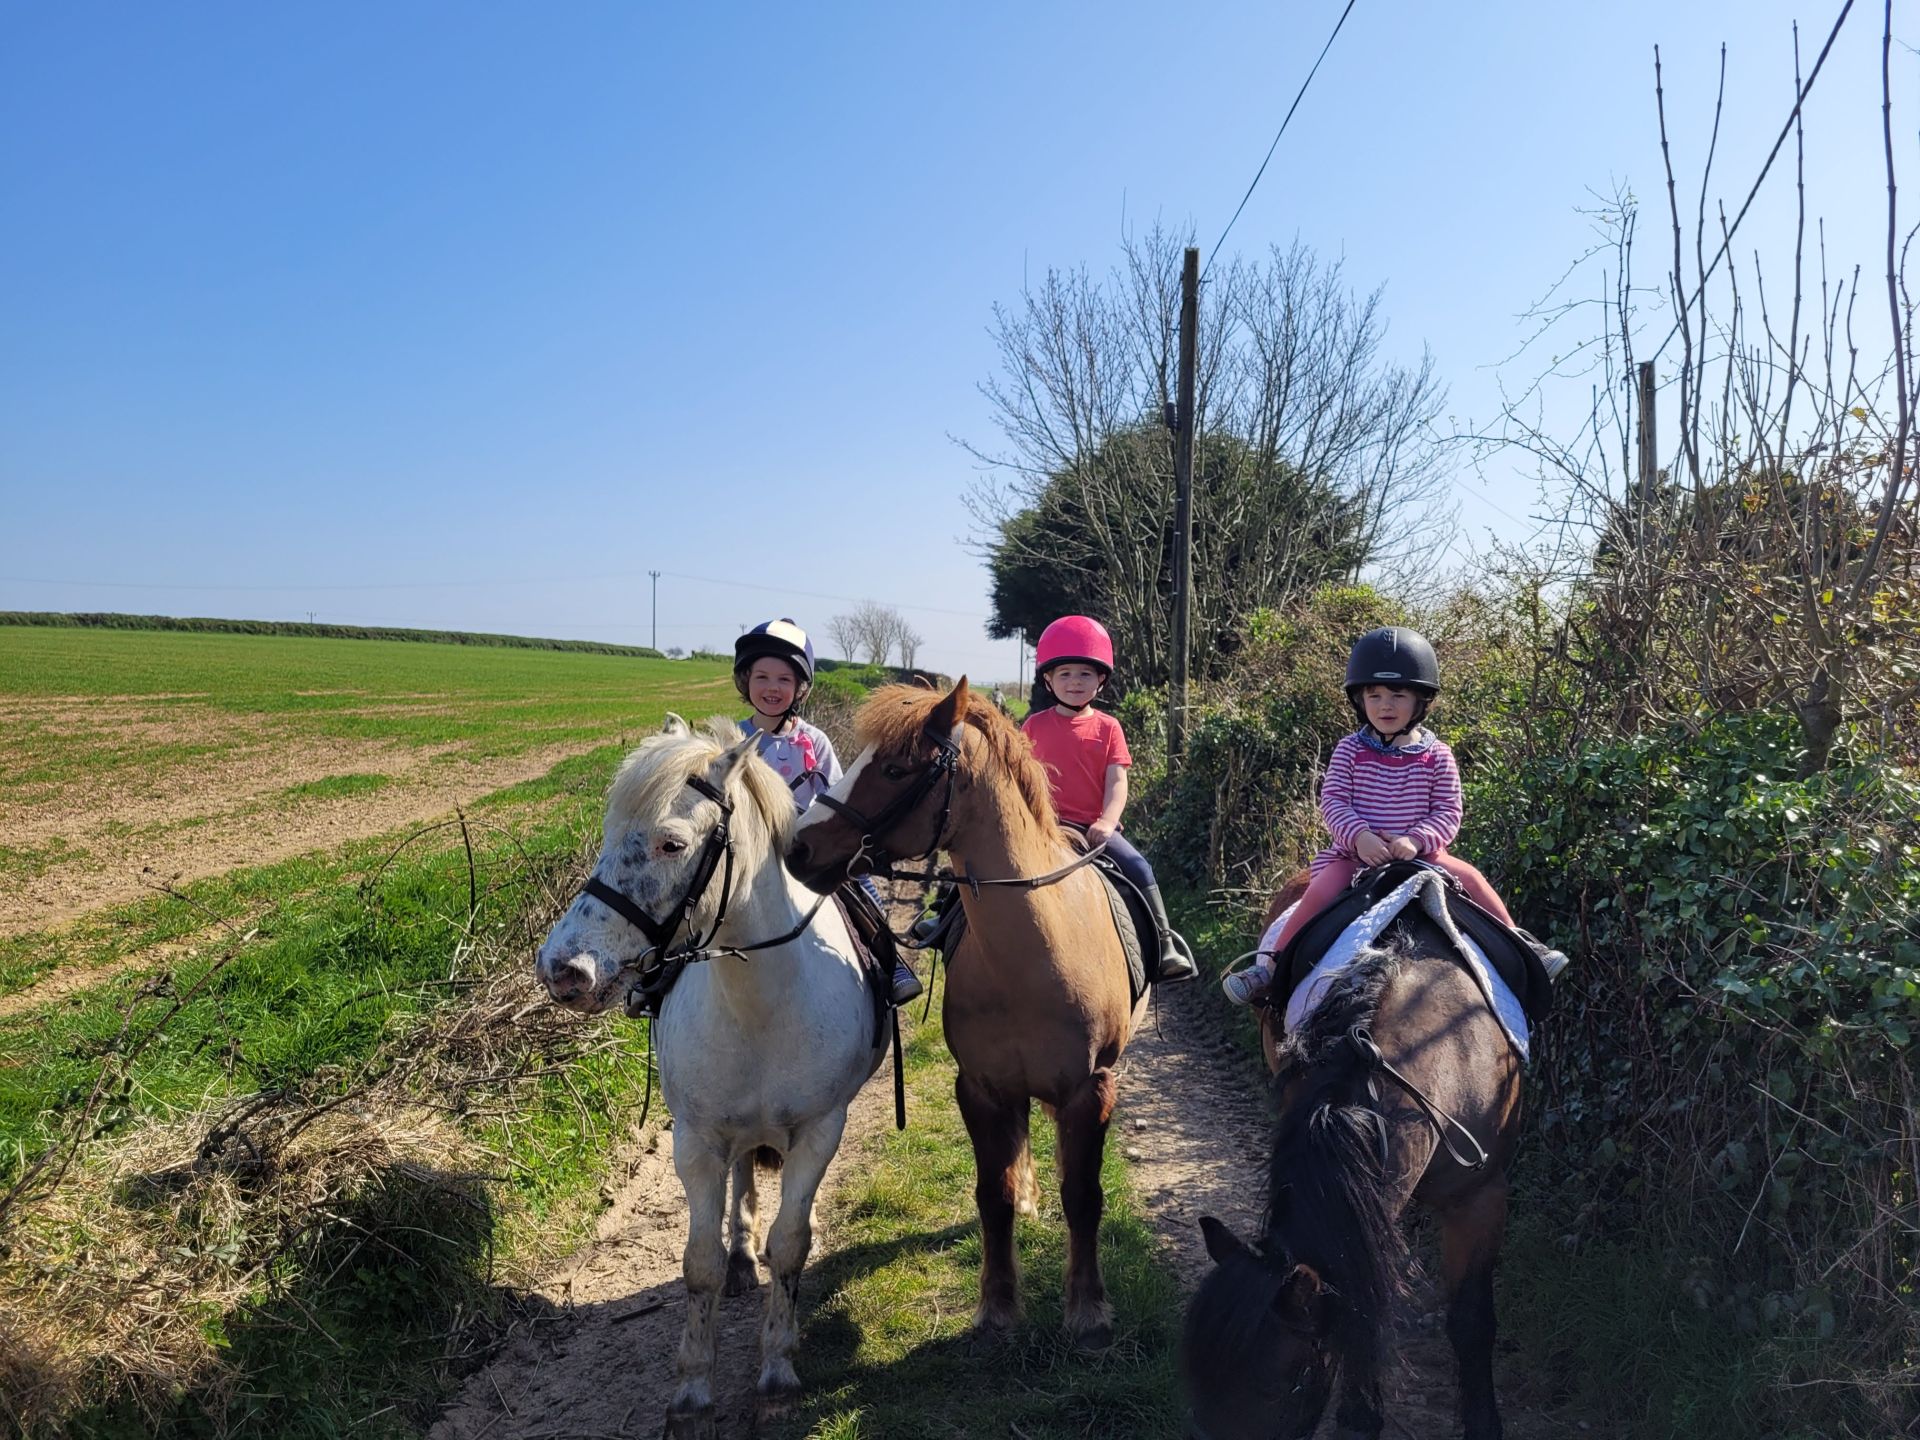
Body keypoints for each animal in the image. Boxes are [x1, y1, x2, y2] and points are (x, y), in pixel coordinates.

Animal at [533, 718, 879, 1436]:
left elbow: (792, 1245)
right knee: (742, 1183)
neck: (761, 1001)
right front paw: (692, 1390)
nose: (562, 969)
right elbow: (699, 1264)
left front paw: (777, 1372)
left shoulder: (820, 1131)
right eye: (609, 832)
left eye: (672, 842)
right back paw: (743, 1258)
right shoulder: (695, 1141)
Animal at [779, 683, 1136, 1351]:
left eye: (895, 769)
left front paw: (1089, 1309)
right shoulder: (980, 1088)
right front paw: (997, 1309)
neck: (1034, 952)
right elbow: (992, 1195)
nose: (797, 848)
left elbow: (1084, 1194)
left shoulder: (1091, 1087)